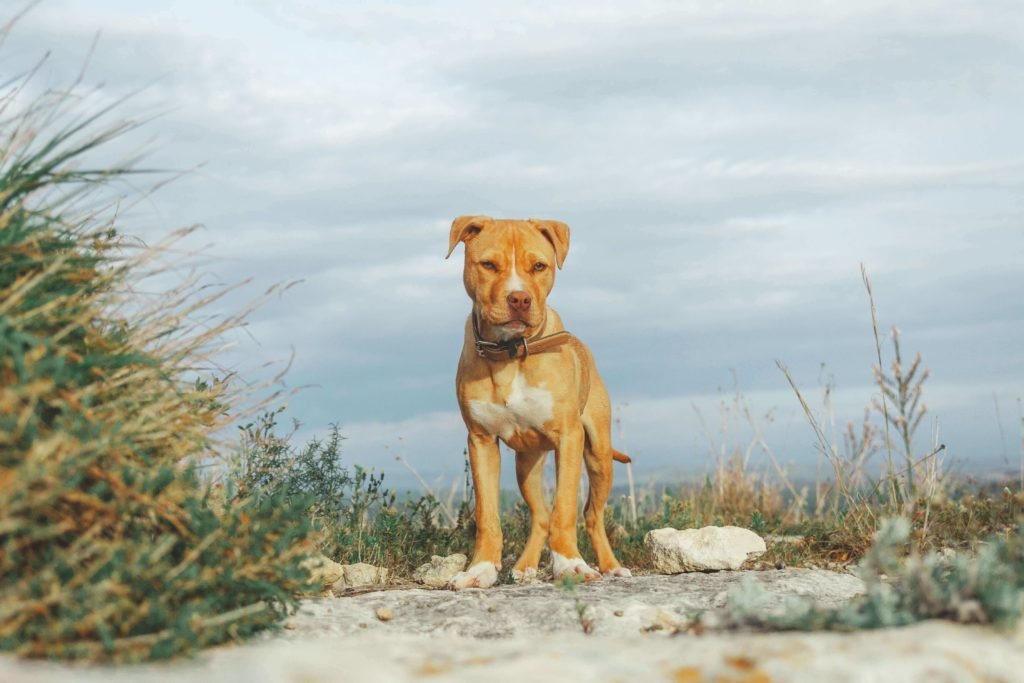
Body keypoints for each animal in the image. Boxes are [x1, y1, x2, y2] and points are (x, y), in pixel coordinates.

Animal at [446, 216, 630, 589]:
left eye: (539, 266)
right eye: (489, 265)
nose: (519, 298)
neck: (511, 352)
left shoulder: (570, 437)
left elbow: (565, 508)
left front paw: (571, 564)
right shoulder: (481, 441)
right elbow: (487, 514)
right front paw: (480, 569)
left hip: (599, 453)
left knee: (591, 514)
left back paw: (611, 566)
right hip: (526, 464)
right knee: (541, 514)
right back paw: (526, 567)